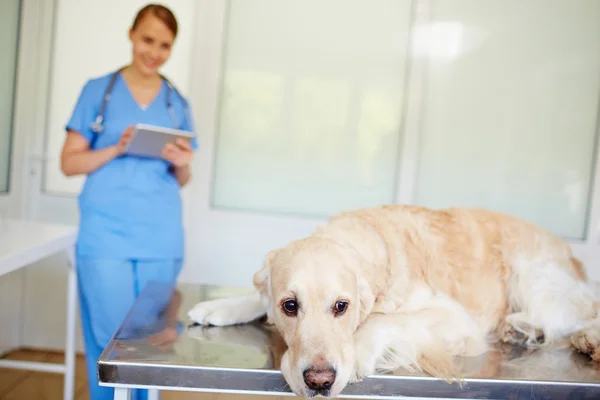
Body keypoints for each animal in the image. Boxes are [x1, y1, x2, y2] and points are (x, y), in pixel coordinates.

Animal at [188, 205, 600, 398]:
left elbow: (384, 319)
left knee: (574, 313)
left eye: (342, 306)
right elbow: (257, 296)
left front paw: (358, 352)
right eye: (290, 306)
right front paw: (221, 306)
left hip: (529, 270)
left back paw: (556, 333)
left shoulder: (454, 318)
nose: (320, 381)